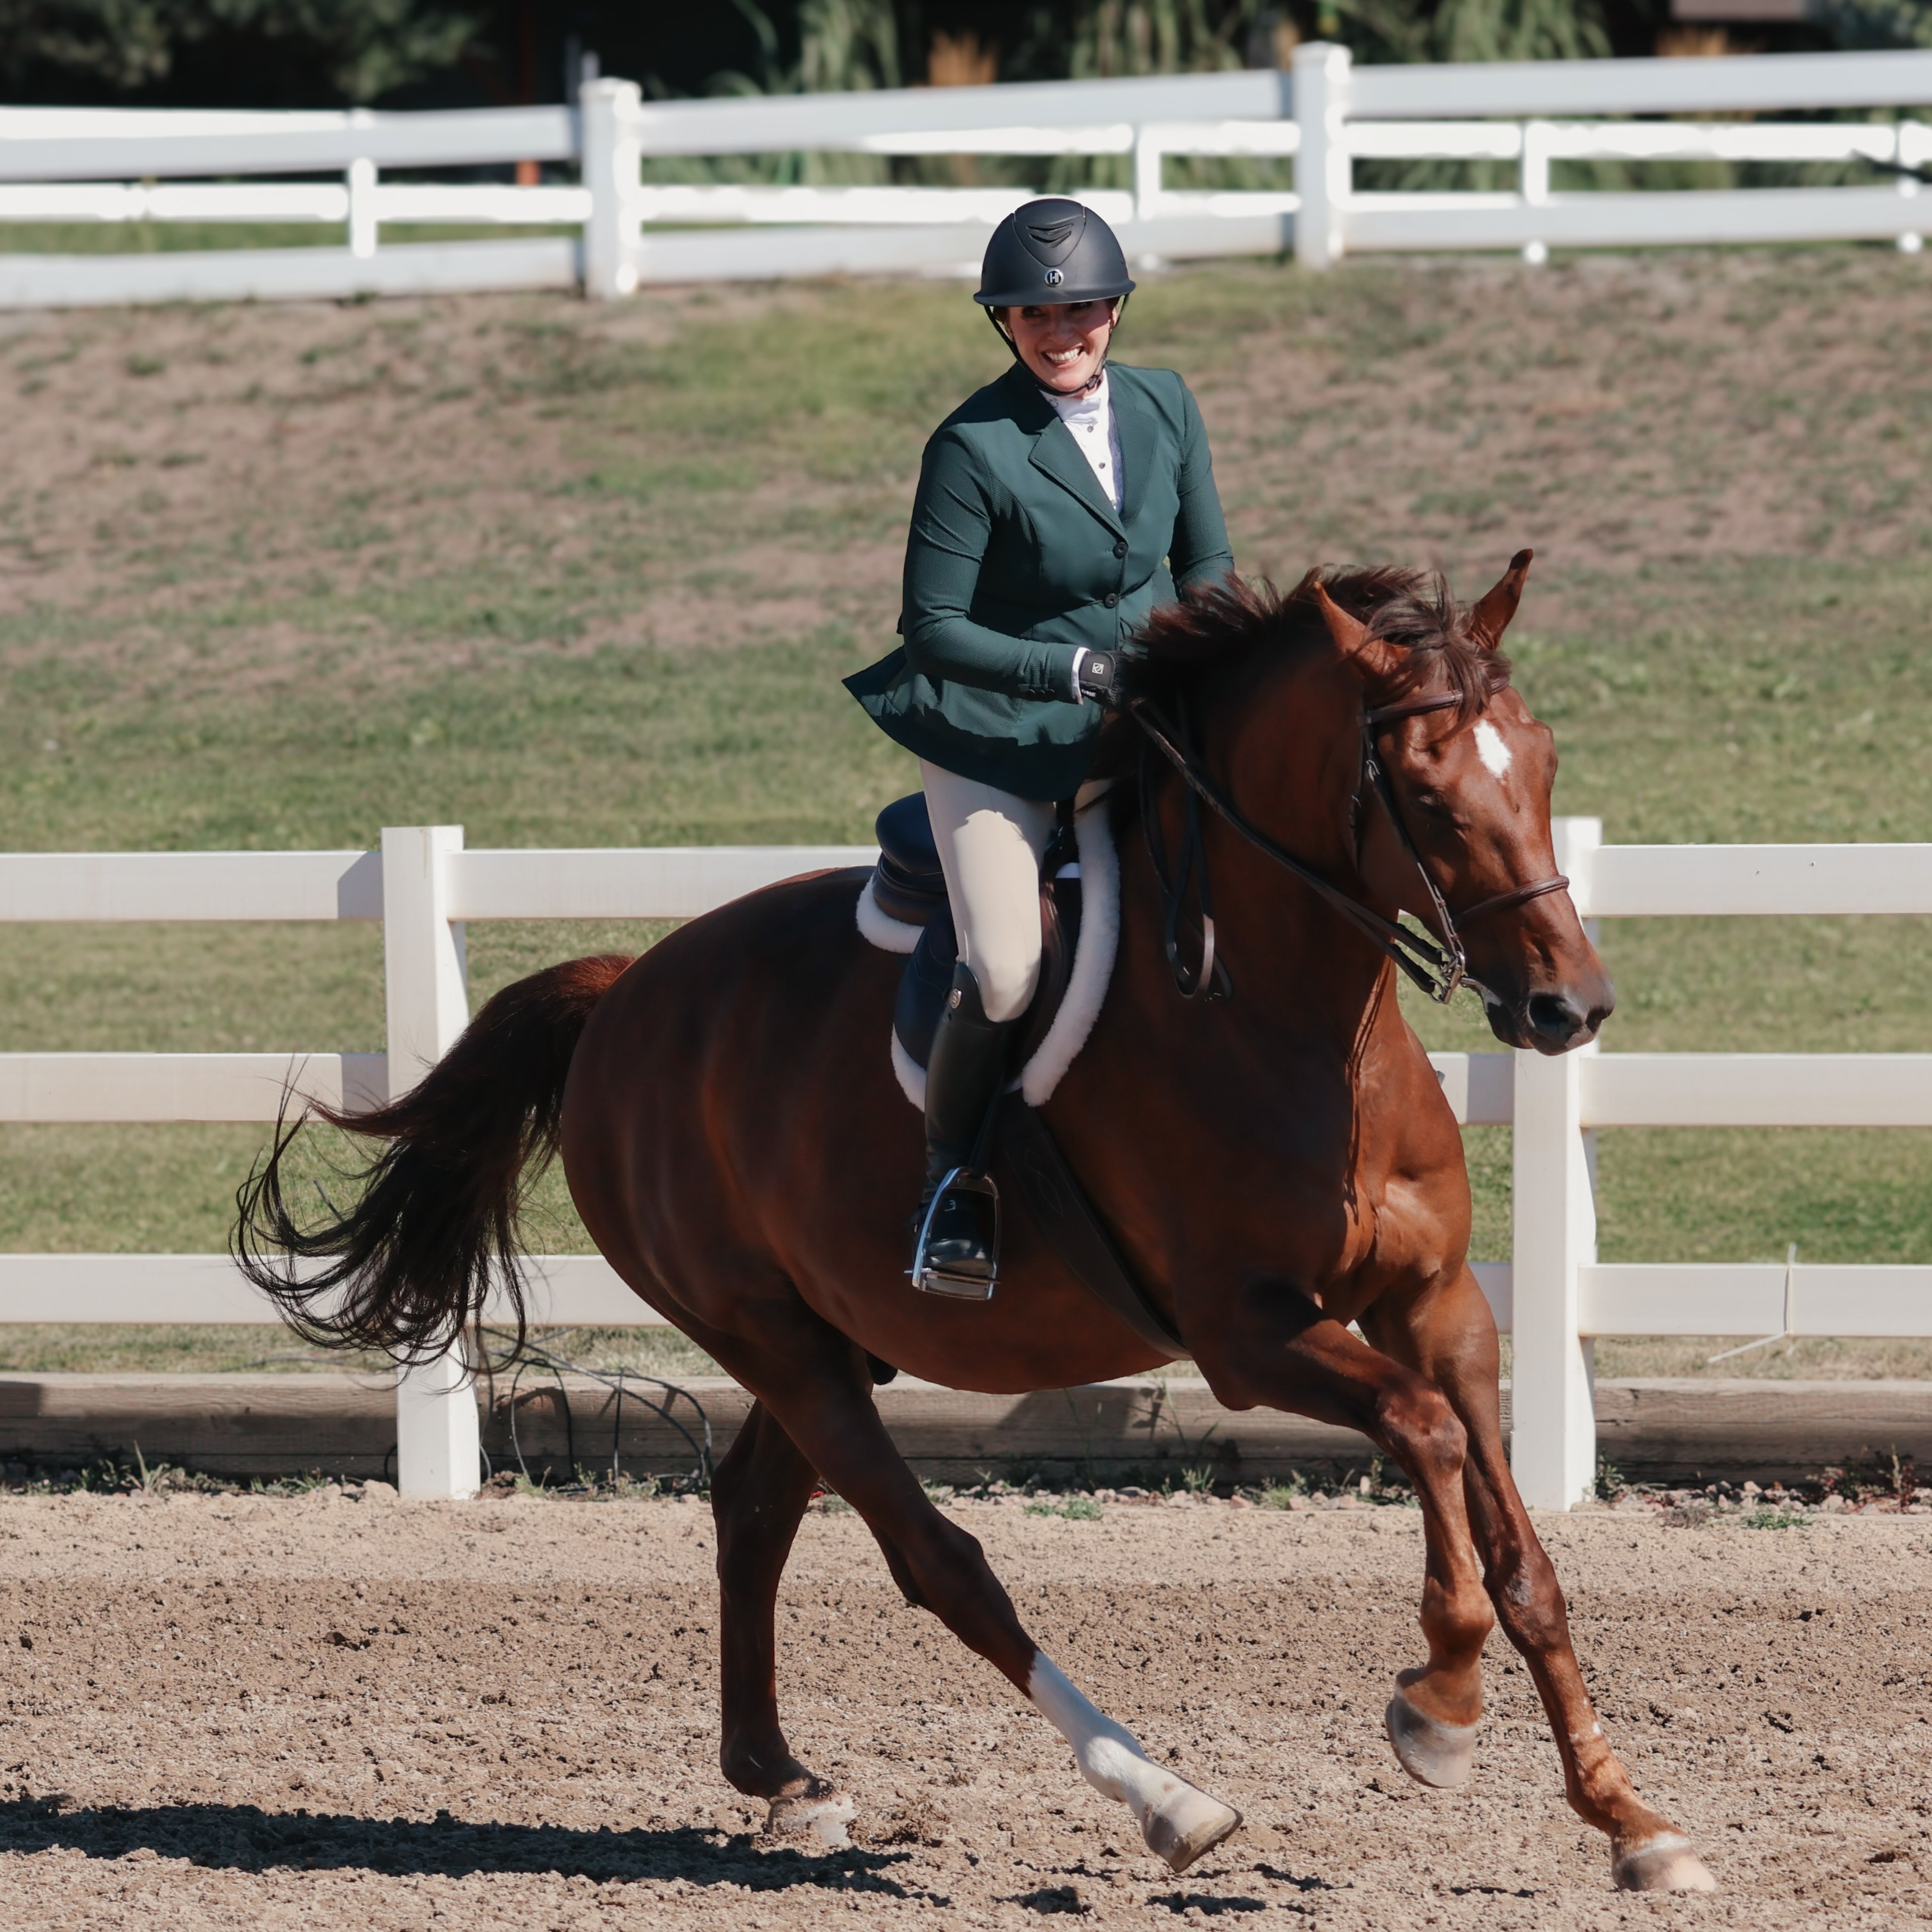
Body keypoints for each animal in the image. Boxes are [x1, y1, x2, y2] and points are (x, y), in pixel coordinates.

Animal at [234, 553, 1716, 1894]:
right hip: (770, 1334)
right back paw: (1164, 1799)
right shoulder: (1248, 1332)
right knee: (938, 1562)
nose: (1568, 1009)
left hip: (831, 1336)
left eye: (1542, 764)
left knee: (756, 1508)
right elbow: (1425, 1440)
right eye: (1423, 792)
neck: (1293, 1018)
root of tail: (627, 993)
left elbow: (1522, 1555)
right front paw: (1439, 1710)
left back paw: (783, 1779)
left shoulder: (1440, 1304)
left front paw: (1633, 1823)